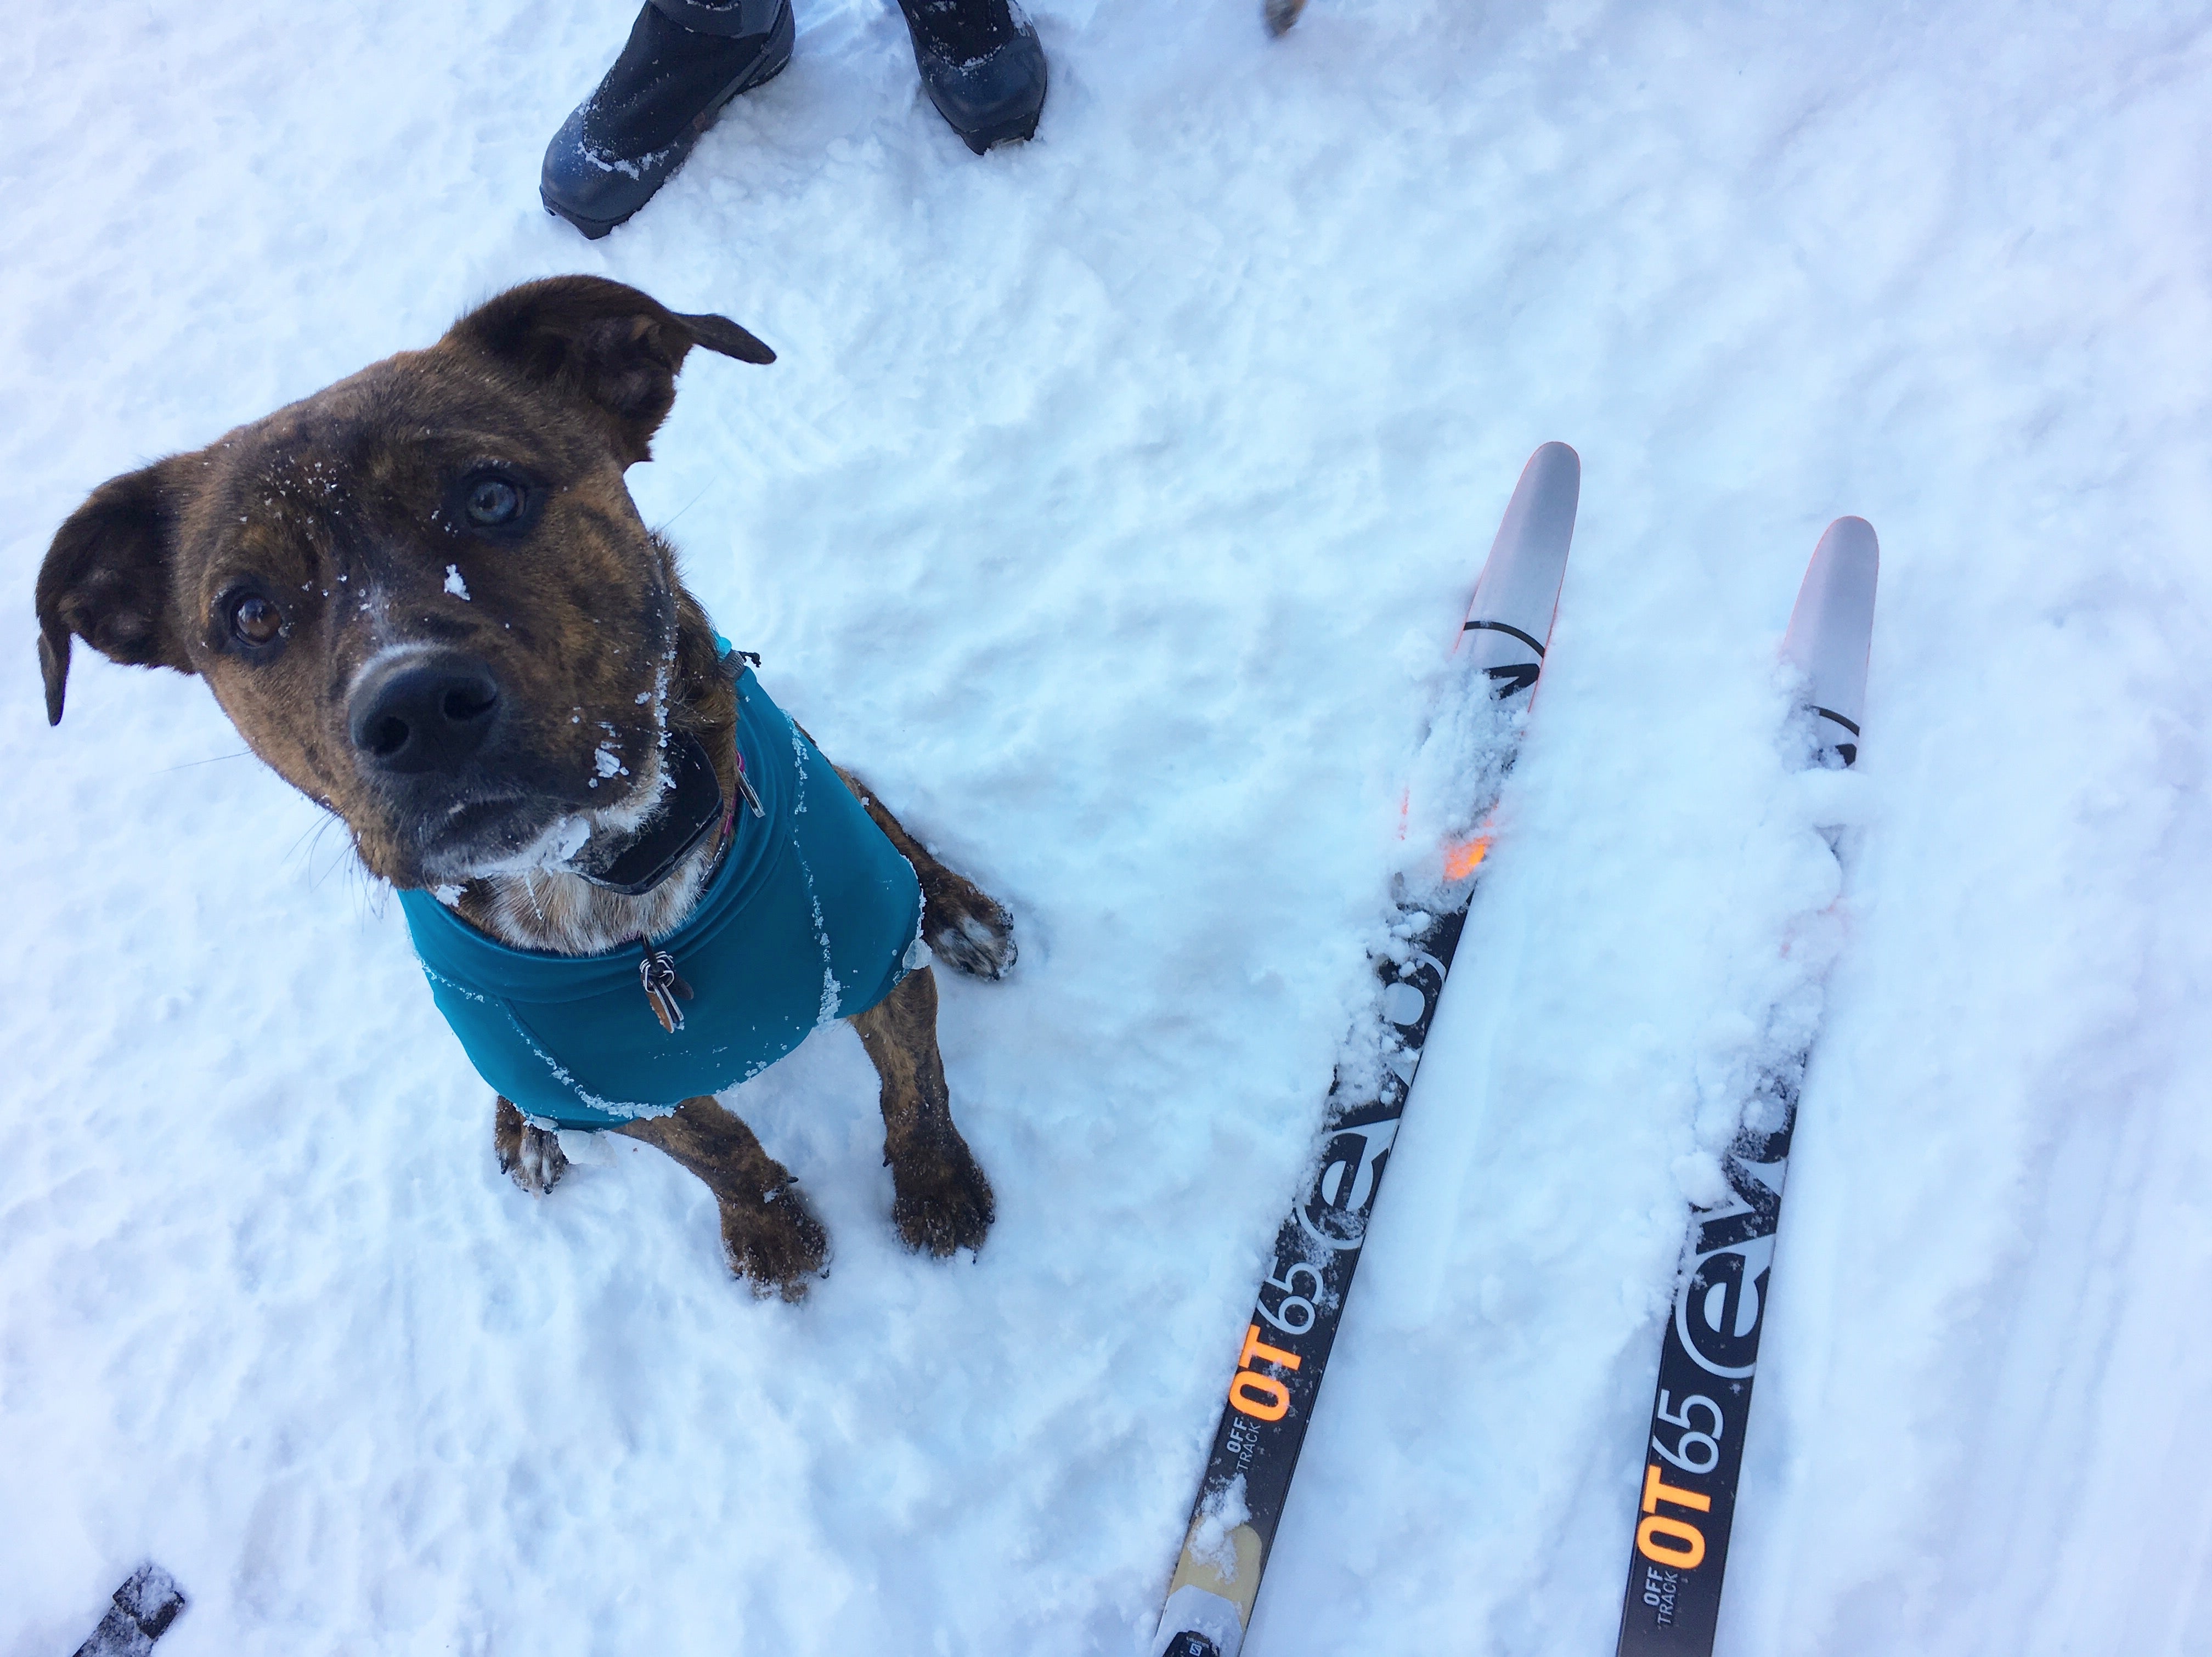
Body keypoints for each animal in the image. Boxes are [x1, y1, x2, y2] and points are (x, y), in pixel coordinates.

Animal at [30, 278, 1013, 1300]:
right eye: (250, 612)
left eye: (492, 494)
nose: (416, 707)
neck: (611, 899)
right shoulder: (616, 1090)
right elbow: (717, 1149)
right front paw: (770, 1227)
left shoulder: (881, 964)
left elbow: (914, 1086)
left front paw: (939, 1188)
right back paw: (522, 1125)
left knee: (883, 818)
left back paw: (961, 910)